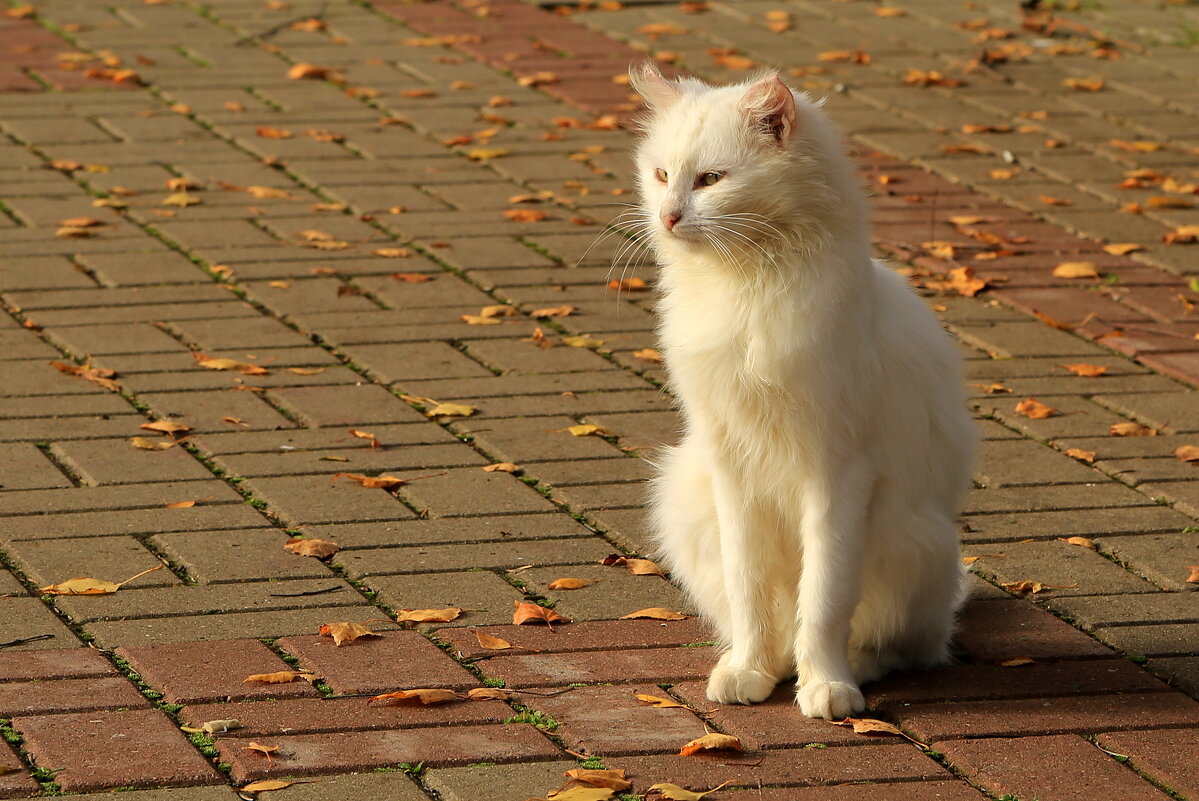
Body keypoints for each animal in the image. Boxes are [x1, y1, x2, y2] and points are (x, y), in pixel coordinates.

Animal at [633, 64, 978, 719]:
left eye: (710, 180)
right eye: (662, 176)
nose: (668, 217)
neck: (744, 286)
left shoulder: (838, 473)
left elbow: (823, 600)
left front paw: (826, 687)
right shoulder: (732, 469)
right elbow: (750, 592)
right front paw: (749, 671)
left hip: (914, 541)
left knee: (903, 645)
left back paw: (848, 671)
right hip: (686, 497)